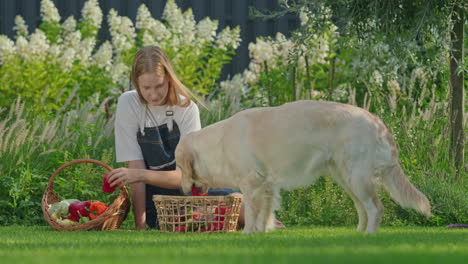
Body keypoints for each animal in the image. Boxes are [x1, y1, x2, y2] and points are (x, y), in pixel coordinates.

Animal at [176, 100, 432, 233]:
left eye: (178, 166)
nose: (183, 190)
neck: (219, 143)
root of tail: (377, 121)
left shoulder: (251, 183)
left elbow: (251, 212)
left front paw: (248, 233)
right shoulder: (267, 185)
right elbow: (265, 212)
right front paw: (262, 232)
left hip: (356, 177)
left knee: (376, 208)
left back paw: (369, 236)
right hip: (347, 178)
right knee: (363, 208)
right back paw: (357, 235)